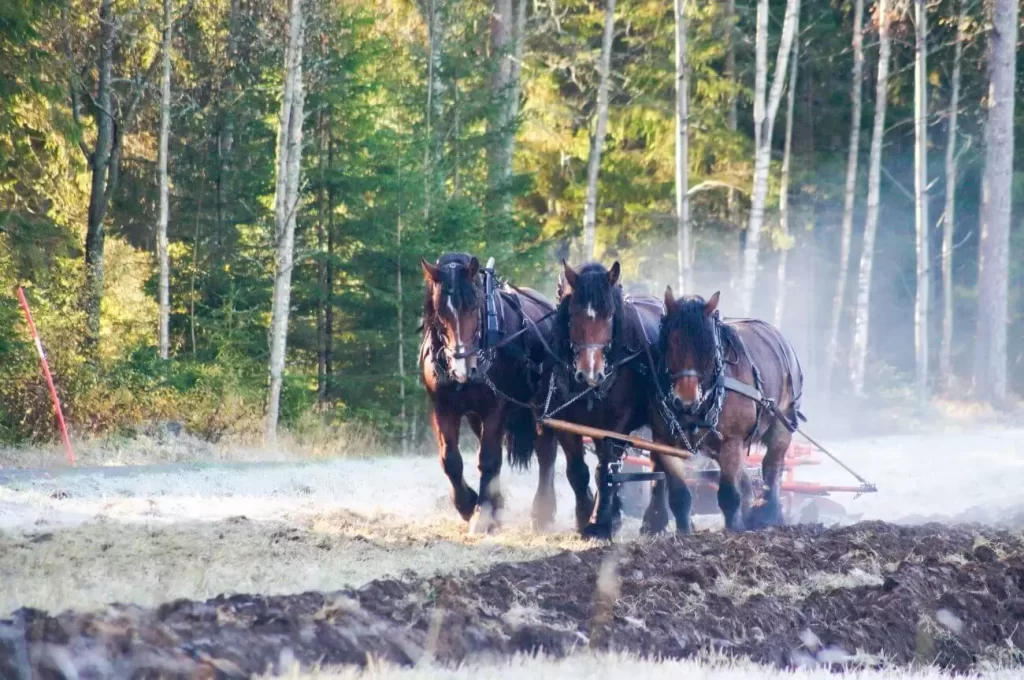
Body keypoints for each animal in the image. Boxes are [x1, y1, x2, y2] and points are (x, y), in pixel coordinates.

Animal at [415, 251, 565, 532]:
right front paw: (468, 505)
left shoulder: (497, 408)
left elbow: (489, 459)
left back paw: (542, 510)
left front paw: (483, 512)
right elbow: (450, 460)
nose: (464, 368)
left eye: (474, 307)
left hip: (542, 404)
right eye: (440, 311)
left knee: (546, 451)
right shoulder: (443, 408)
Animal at [544, 258, 663, 540]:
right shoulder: (566, 423)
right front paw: (585, 516)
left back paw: (654, 521)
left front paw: (600, 524)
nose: (590, 373)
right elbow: (578, 471)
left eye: (609, 315)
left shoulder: (617, 424)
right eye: (573, 314)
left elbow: (606, 470)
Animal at [647, 286, 806, 532]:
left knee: (773, 467)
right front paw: (684, 532)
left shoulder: (731, 441)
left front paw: (734, 529)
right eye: (670, 343)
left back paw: (768, 515)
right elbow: (680, 496)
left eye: (708, 348)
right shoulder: (664, 442)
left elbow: (729, 495)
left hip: (782, 422)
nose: (685, 402)